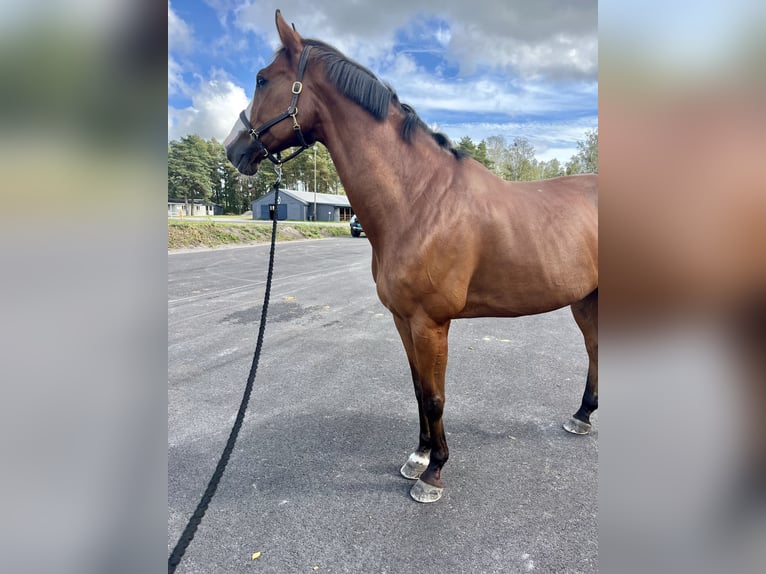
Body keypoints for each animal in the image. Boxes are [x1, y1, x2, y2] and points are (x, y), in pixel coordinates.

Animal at [225, 10, 598, 503]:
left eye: (261, 78)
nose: (232, 148)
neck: (419, 200)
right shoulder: (404, 319)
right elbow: (420, 388)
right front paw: (419, 457)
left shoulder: (431, 322)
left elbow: (436, 396)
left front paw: (433, 474)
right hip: (586, 299)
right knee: (595, 350)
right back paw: (582, 415)